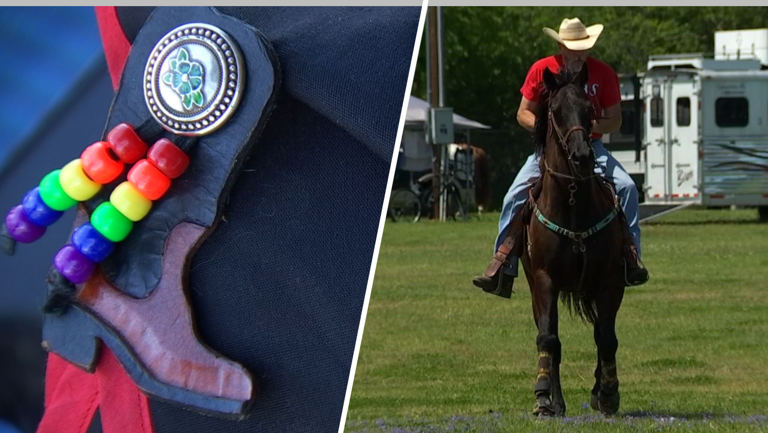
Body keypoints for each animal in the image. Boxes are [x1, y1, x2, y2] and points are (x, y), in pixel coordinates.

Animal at [524, 63, 628, 416]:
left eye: (589, 109)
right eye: (555, 110)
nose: (582, 156)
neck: (572, 203)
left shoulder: (610, 280)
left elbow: (606, 337)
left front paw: (607, 393)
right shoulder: (544, 279)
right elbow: (548, 338)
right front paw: (544, 397)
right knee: (550, 337)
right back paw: (555, 400)